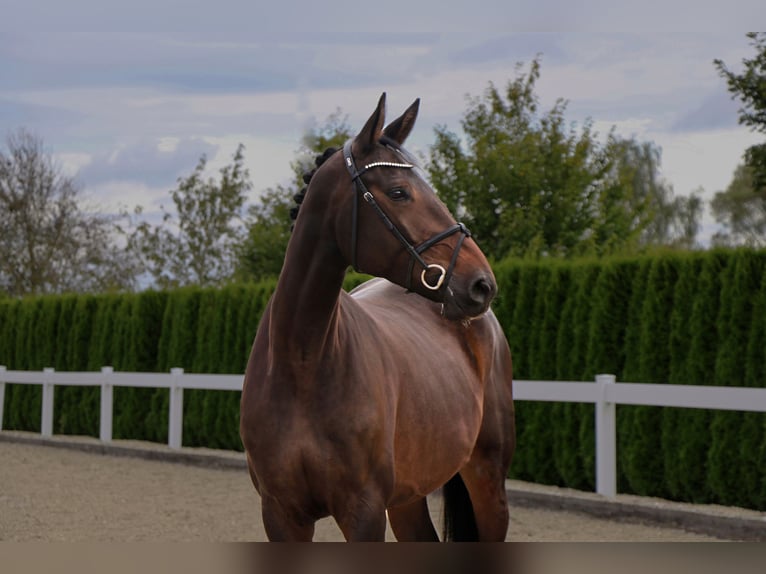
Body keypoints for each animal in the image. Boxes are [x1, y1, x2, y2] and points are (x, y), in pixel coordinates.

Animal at [240, 92, 516, 544]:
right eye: (399, 191)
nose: (481, 284)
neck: (303, 363)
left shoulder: (364, 512)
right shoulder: (281, 515)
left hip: (488, 480)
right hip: (406, 498)